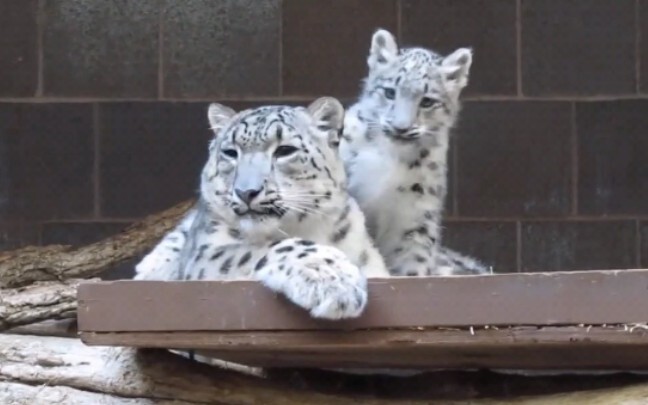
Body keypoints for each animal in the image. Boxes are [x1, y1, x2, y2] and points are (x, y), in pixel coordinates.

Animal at [135, 97, 390, 318]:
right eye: (230, 152)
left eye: (285, 150)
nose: (246, 192)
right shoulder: (204, 253)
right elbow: (261, 249)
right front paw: (332, 277)